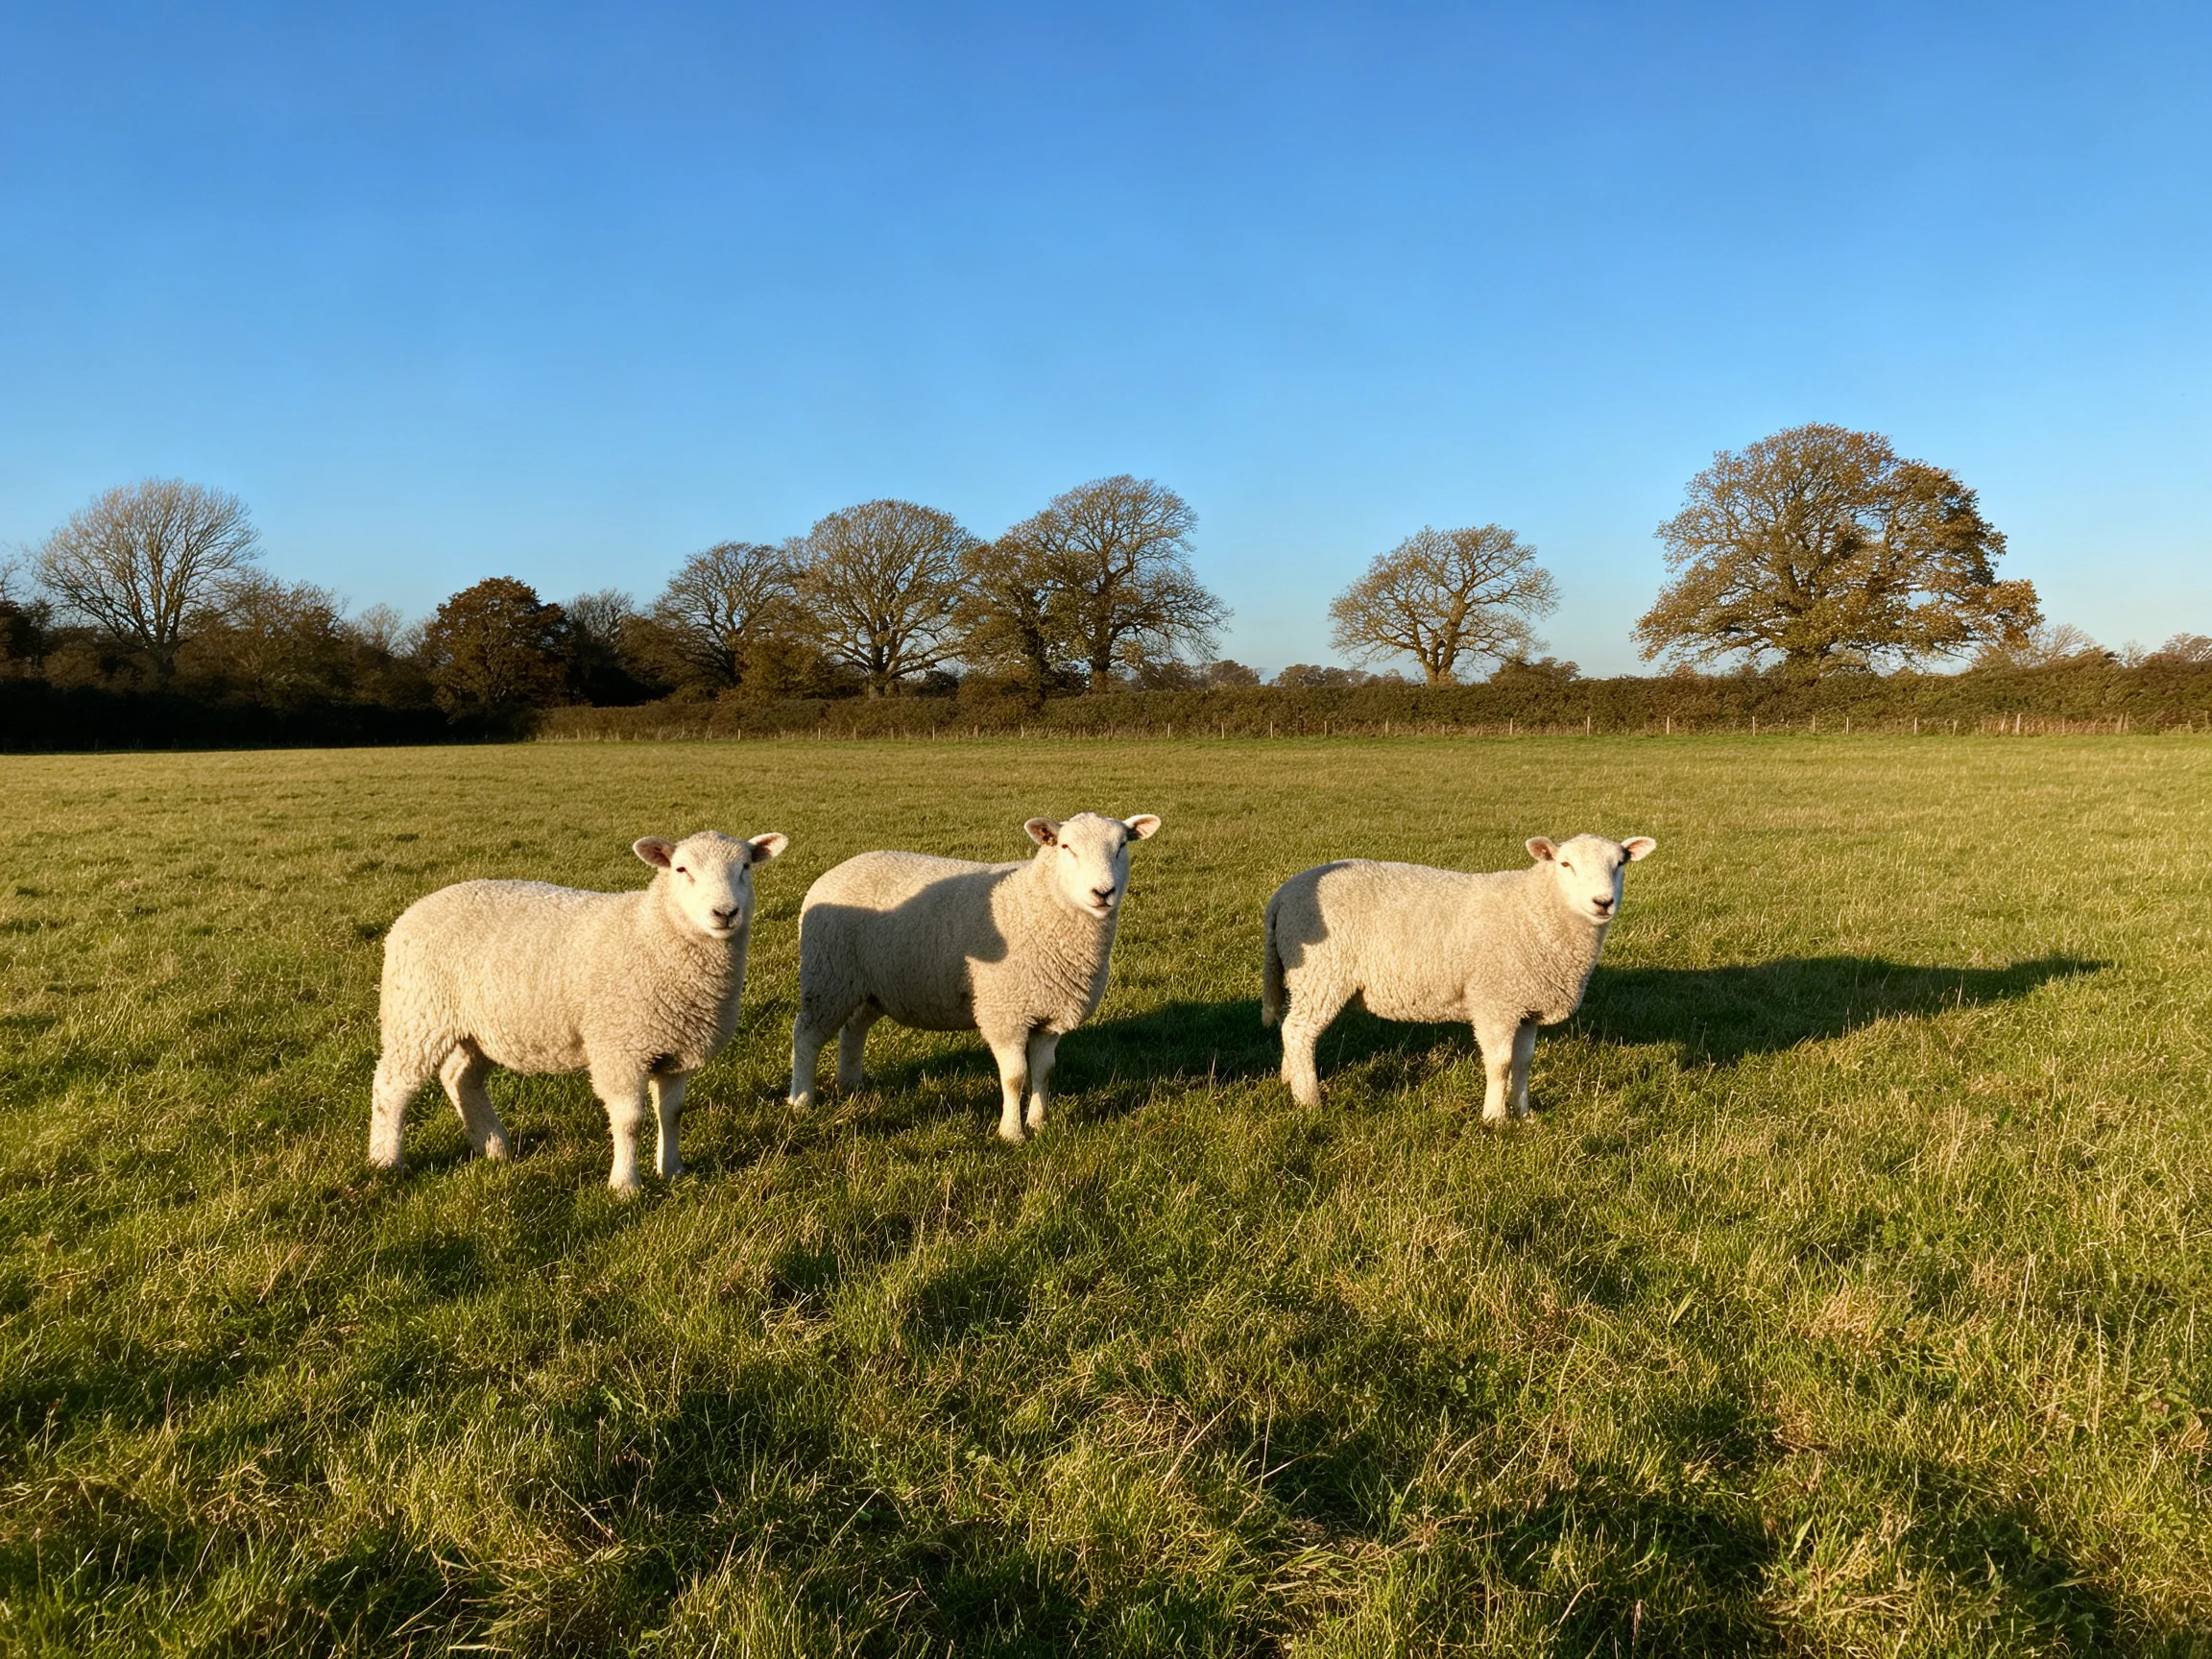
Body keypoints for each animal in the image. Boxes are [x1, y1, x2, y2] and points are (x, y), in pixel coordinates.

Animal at [369, 829, 788, 1192]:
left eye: (746, 867)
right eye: (682, 870)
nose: (725, 913)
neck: (652, 931)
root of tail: (414, 910)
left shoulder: (675, 1050)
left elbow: (672, 1113)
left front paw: (672, 1170)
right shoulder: (620, 1050)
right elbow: (630, 1121)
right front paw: (625, 1185)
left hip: (478, 1027)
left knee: (461, 1078)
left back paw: (494, 1146)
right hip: (417, 1014)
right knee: (392, 1086)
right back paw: (386, 1161)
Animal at [788, 812, 1161, 1141]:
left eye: (1122, 846)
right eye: (1066, 846)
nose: (1103, 892)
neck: (1036, 902)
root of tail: (836, 870)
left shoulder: (1050, 1013)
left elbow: (1044, 1071)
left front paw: (1039, 1123)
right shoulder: (1005, 1012)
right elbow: (1015, 1077)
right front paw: (1011, 1134)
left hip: (872, 985)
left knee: (854, 1029)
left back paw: (852, 1083)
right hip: (828, 977)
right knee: (806, 1034)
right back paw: (801, 1101)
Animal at [1262, 833, 1656, 1121]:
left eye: (1620, 863)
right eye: (1565, 864)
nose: (1603, 902)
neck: (1538, 911)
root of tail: (1282, 895)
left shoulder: (1526, 1005)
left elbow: (1524, 1061)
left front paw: (1524, 1113)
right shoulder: (1496, 1001)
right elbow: (1500, 1063)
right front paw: (1494, 1118)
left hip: (1304, 977)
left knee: (1290, 1027)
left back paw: (1289, 1080)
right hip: (1322, 972)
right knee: (1298, 1032)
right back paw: (1309, 1101)